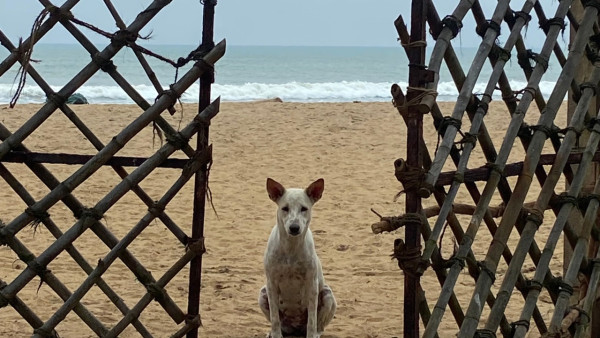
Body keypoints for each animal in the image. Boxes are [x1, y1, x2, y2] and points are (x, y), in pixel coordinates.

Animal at [258, 178, 338, 336]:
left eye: (304, 208)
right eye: (285, 208)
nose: (294, 228)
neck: (291, 248)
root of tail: (295, 328)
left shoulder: (312, 284)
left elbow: (312, 321)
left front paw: (311, 335)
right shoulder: (271, 283)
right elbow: (275, 319)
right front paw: (276, 335)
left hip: (327, 294)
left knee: (319, 326)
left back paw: (316, 333)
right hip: (263, 294)